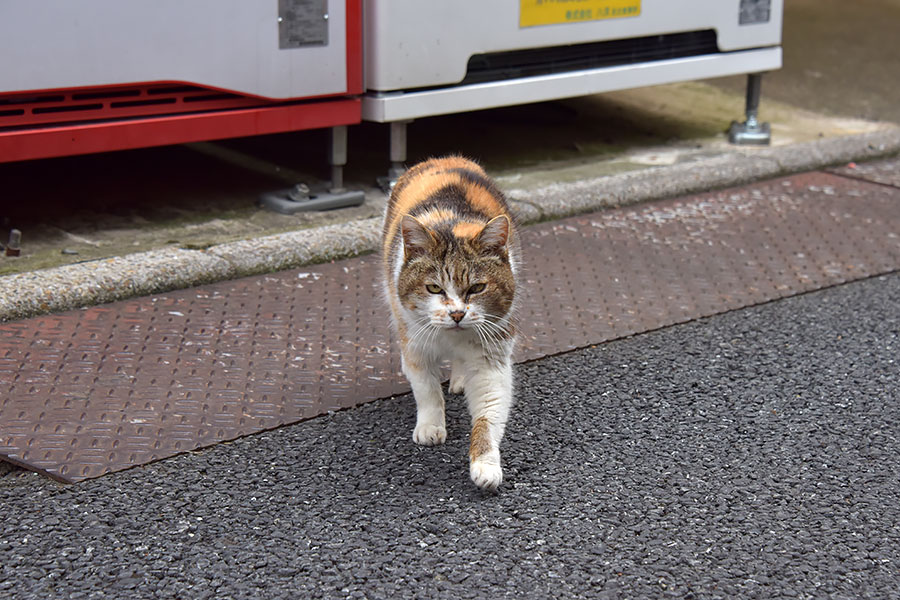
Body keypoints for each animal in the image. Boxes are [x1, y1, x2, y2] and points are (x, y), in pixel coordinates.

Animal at [380, 157, 520, 490]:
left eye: (477, 288)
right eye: (434, 288)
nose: (457, 313)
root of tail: (448, 158)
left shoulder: (491, 358)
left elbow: (488, 415)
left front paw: (485, 464)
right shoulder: (414, 345)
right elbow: (427, 389)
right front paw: (431, 427)